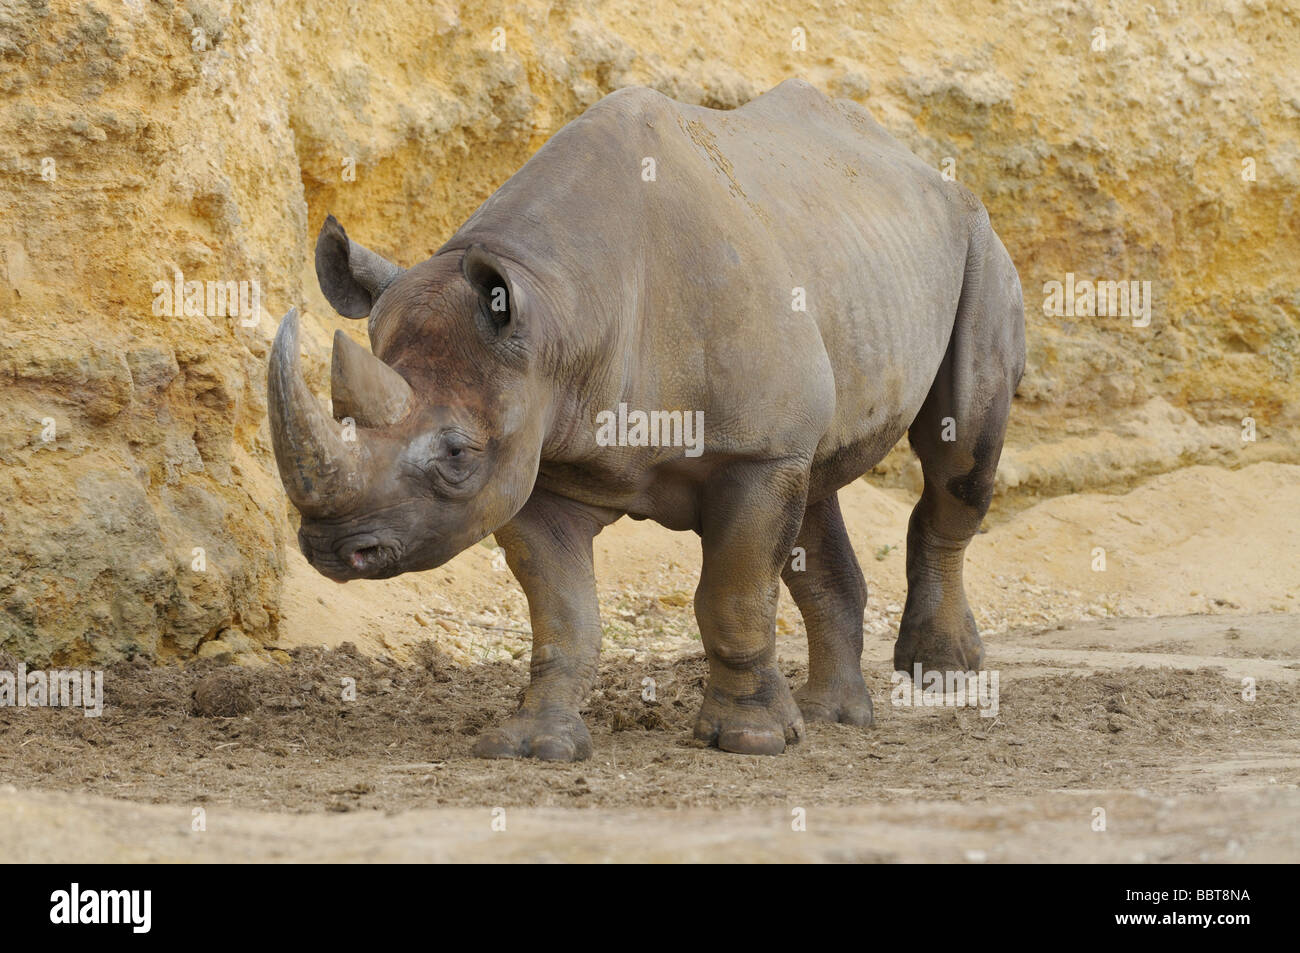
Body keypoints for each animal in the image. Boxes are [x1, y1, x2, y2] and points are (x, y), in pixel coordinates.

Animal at [268, 79, 1025, 760]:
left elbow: (733, 594)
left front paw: (748, 740)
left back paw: (938, 672)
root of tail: (919, 165)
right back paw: (830, 716)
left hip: (978, 241)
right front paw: (532, 744)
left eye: (456, 453)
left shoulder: (752, 452)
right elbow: (563, 615)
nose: (333, 549)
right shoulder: (540, 454)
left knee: (958, 454)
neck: (559, 309)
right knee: (818, 482)